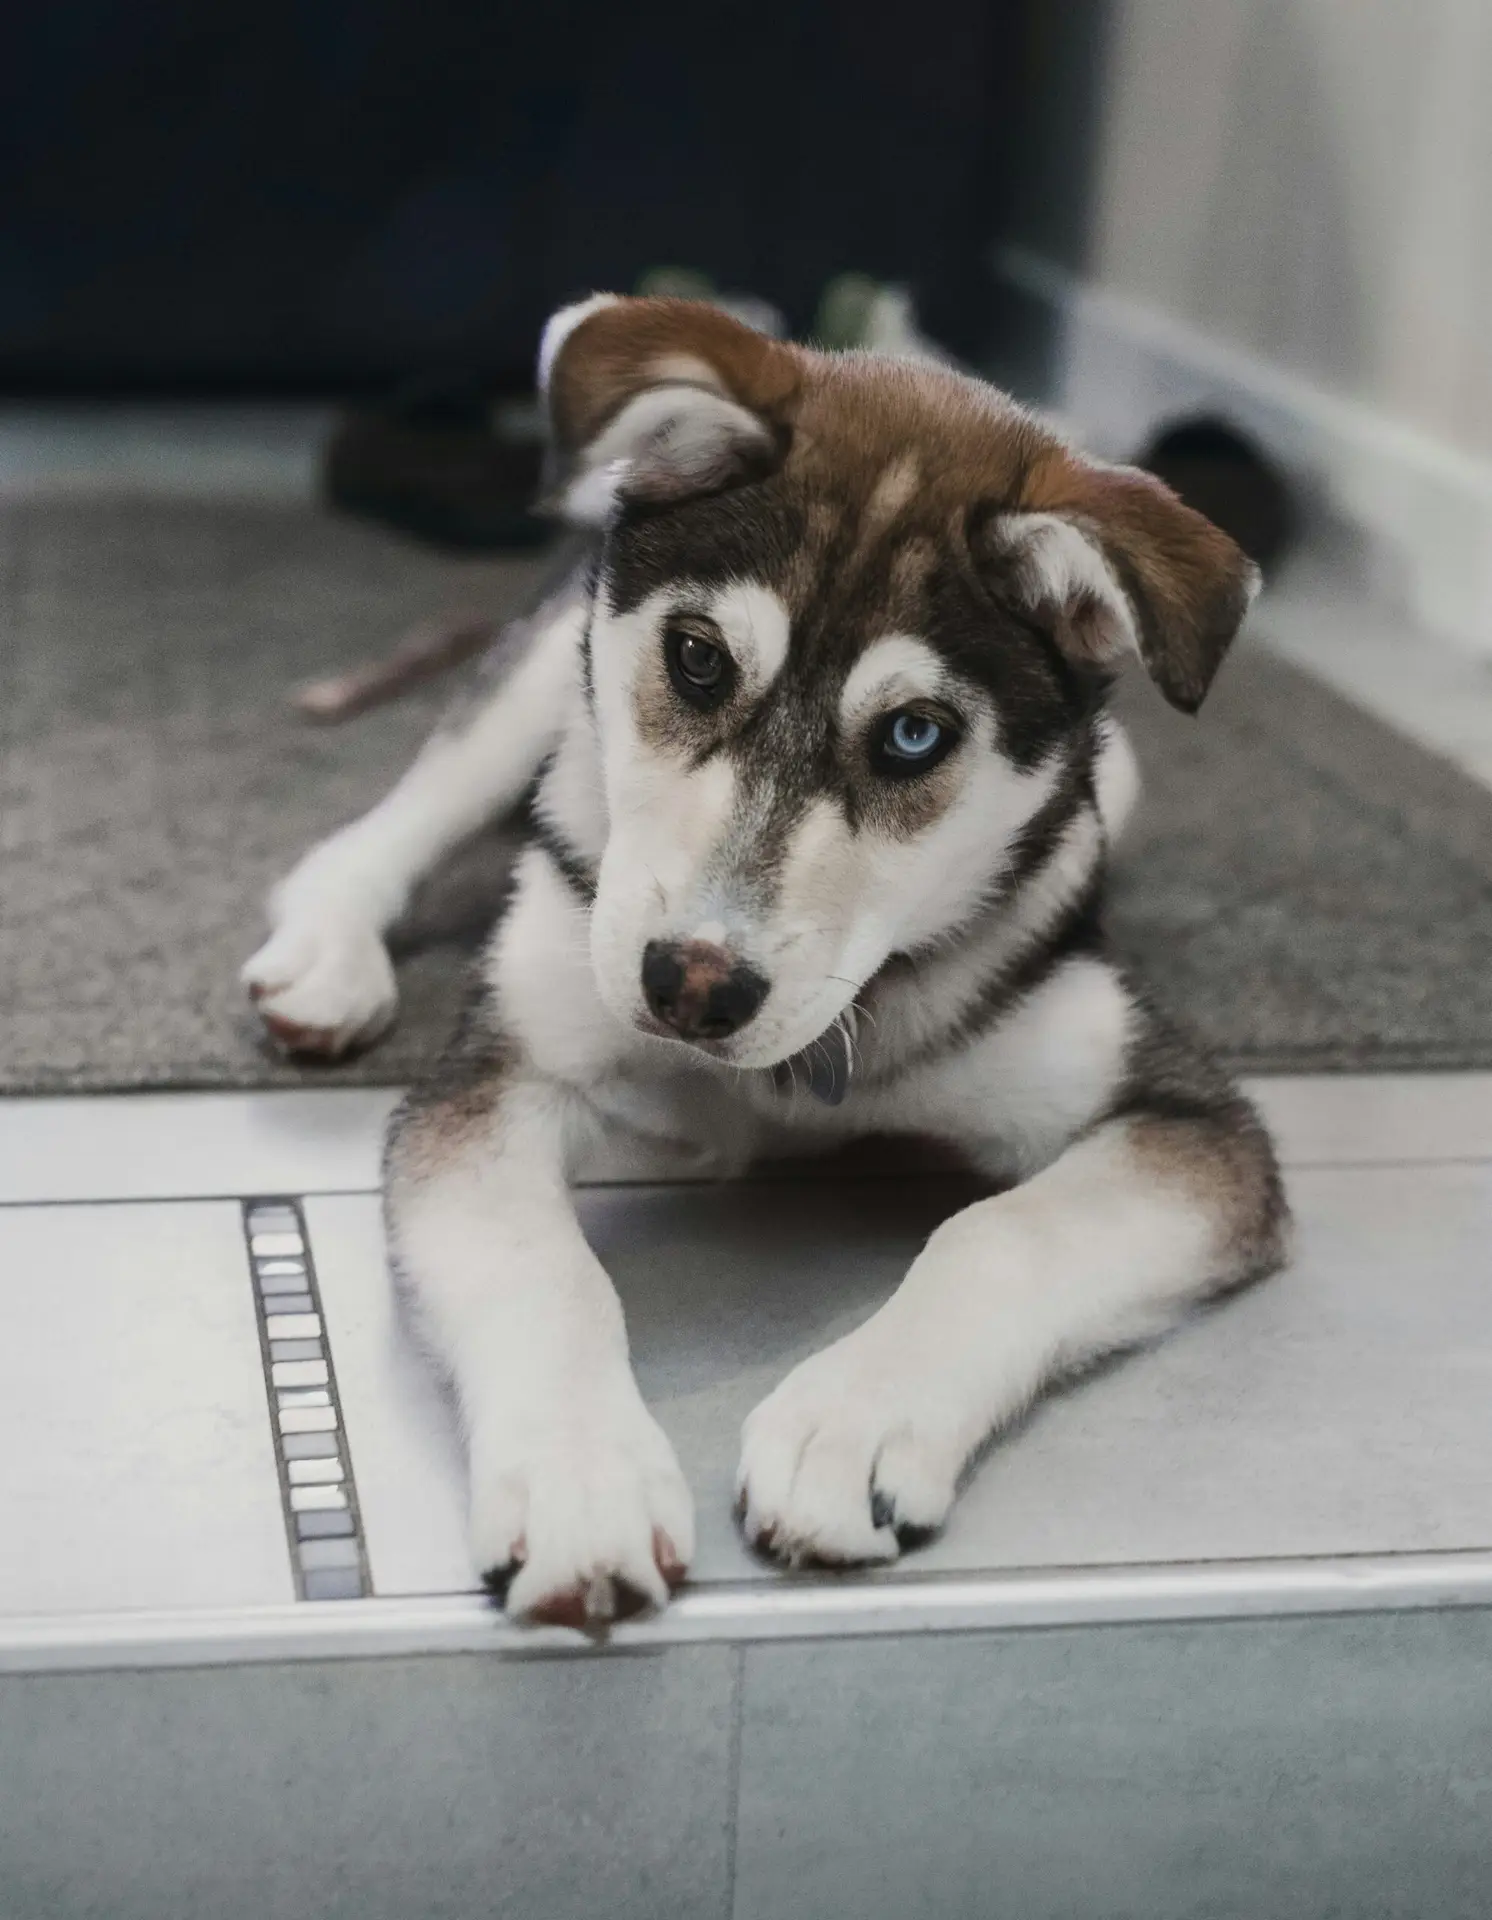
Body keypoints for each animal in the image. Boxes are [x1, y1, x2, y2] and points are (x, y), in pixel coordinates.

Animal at [241, 291, 1282, 1628]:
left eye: (913, 735)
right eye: (696, 658)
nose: (690, 986)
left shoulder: (1181, 1113)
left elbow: (1001, 1232)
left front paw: (855, 1424)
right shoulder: (499, 1078)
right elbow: (539, 1265)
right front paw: (580, 1479)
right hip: (544, 682)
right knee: (396, 816)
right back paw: (328, 954)